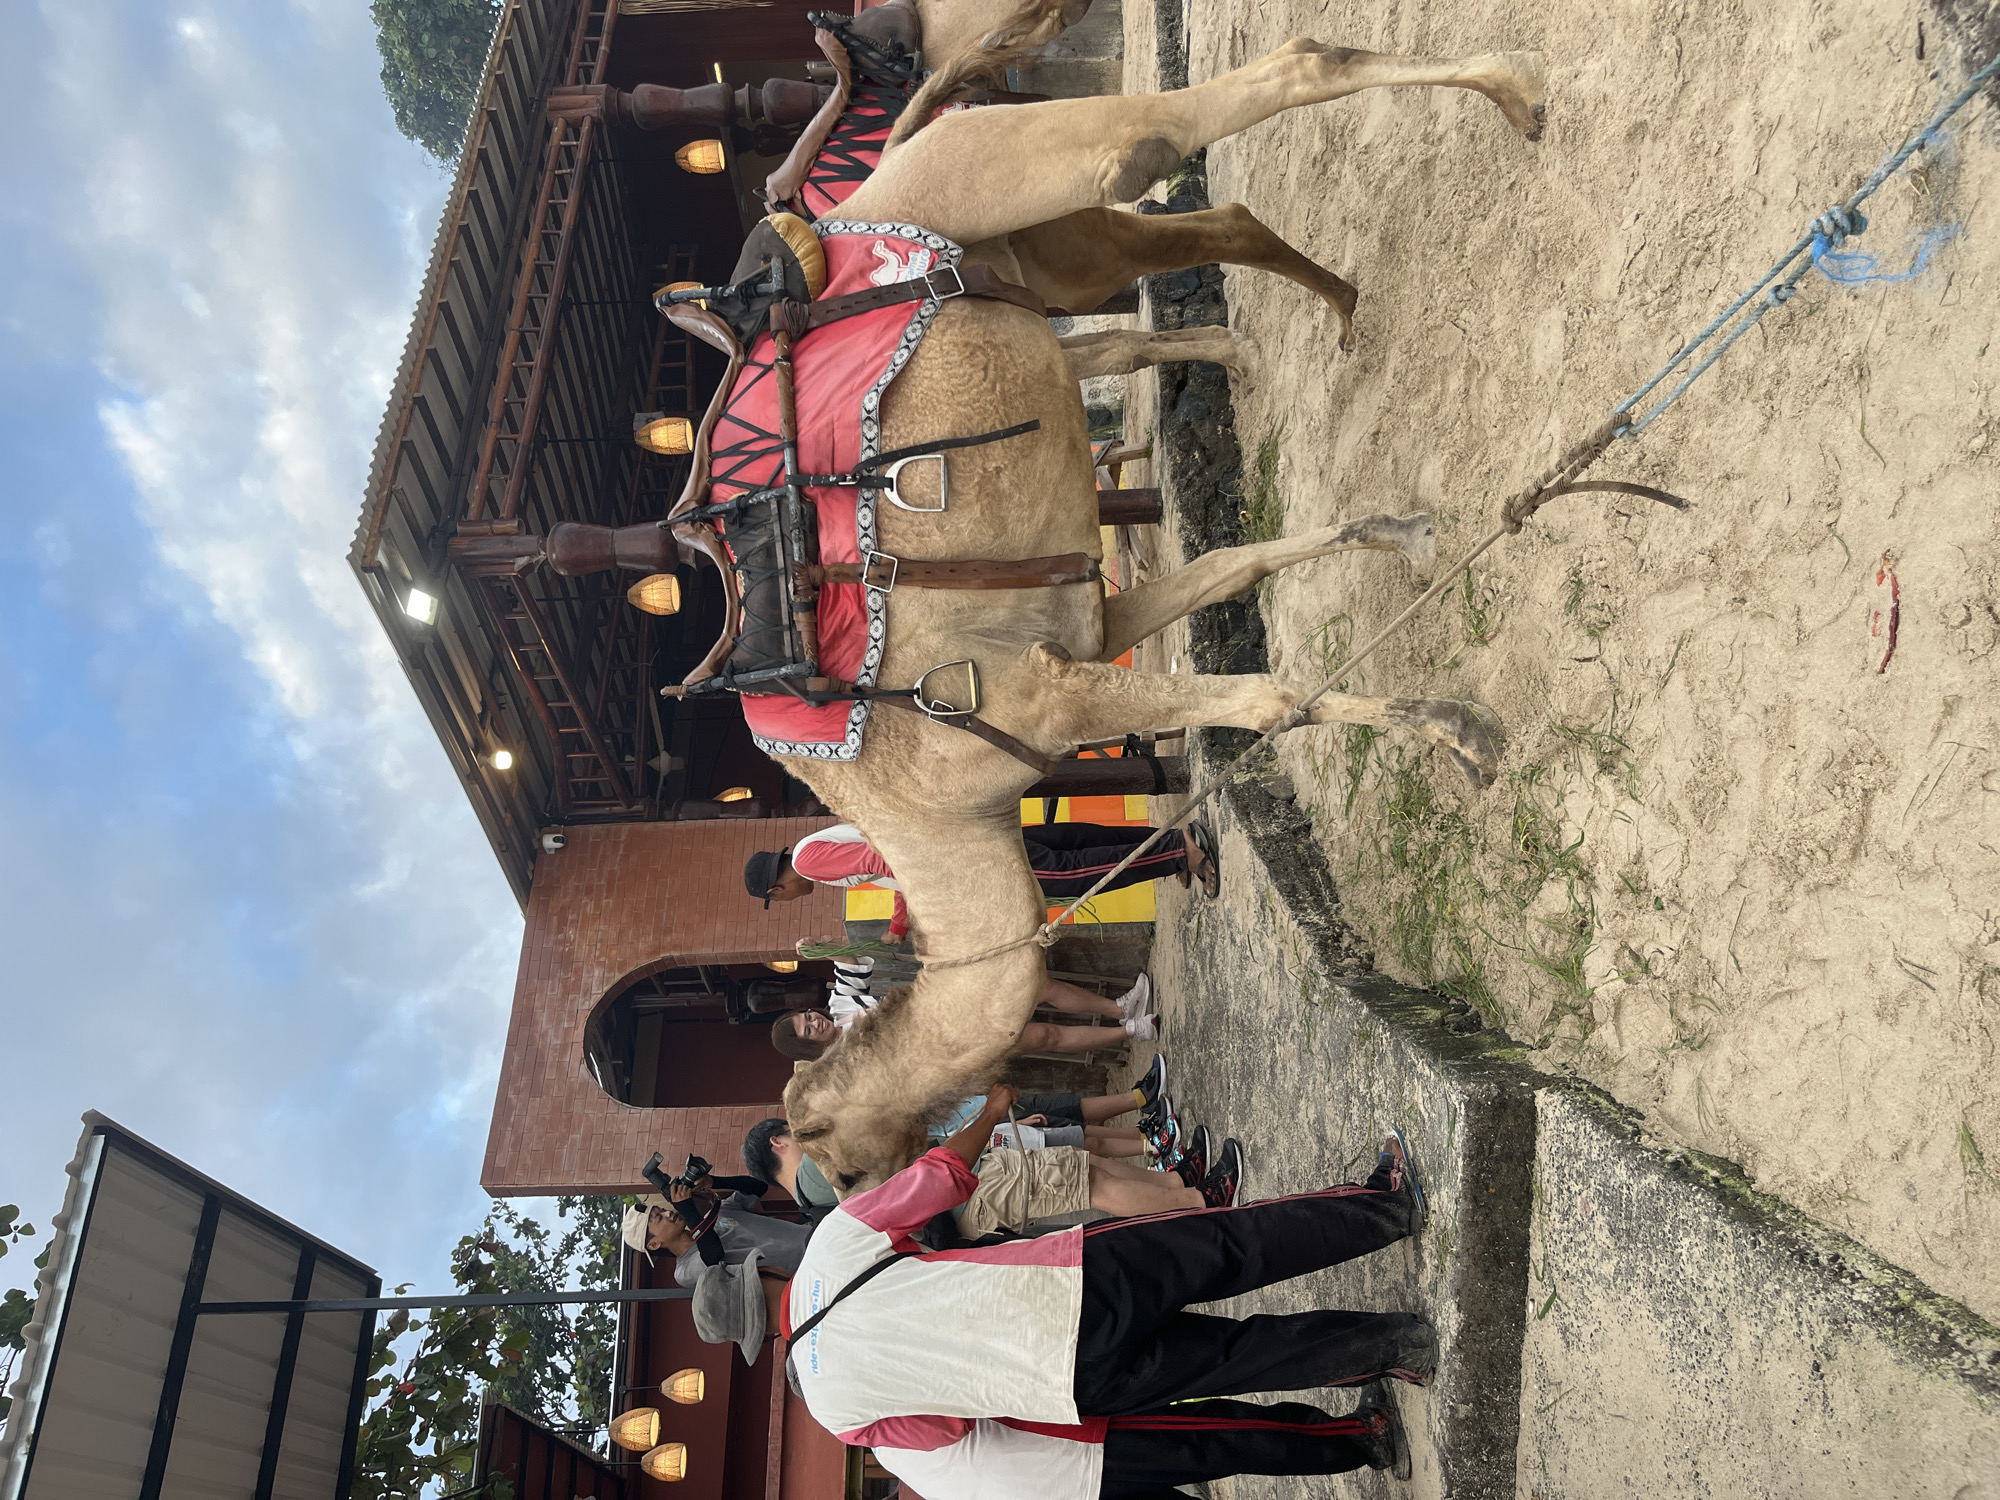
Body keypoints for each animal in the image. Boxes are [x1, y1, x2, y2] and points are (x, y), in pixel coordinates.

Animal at [737, 39, 1548, 1195]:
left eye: (832, 1176)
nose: (914, 1188)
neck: (933, 813)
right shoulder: (1097, 629)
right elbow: (1233, 565)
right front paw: (1401, 532)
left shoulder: (1048, 697)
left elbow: (1262, 700)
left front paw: (1462, 735)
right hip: (1050, 249)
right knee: (1212, 215)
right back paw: (1338, 307)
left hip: (1049, 170)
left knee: (1225, 106)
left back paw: (1515, 97)